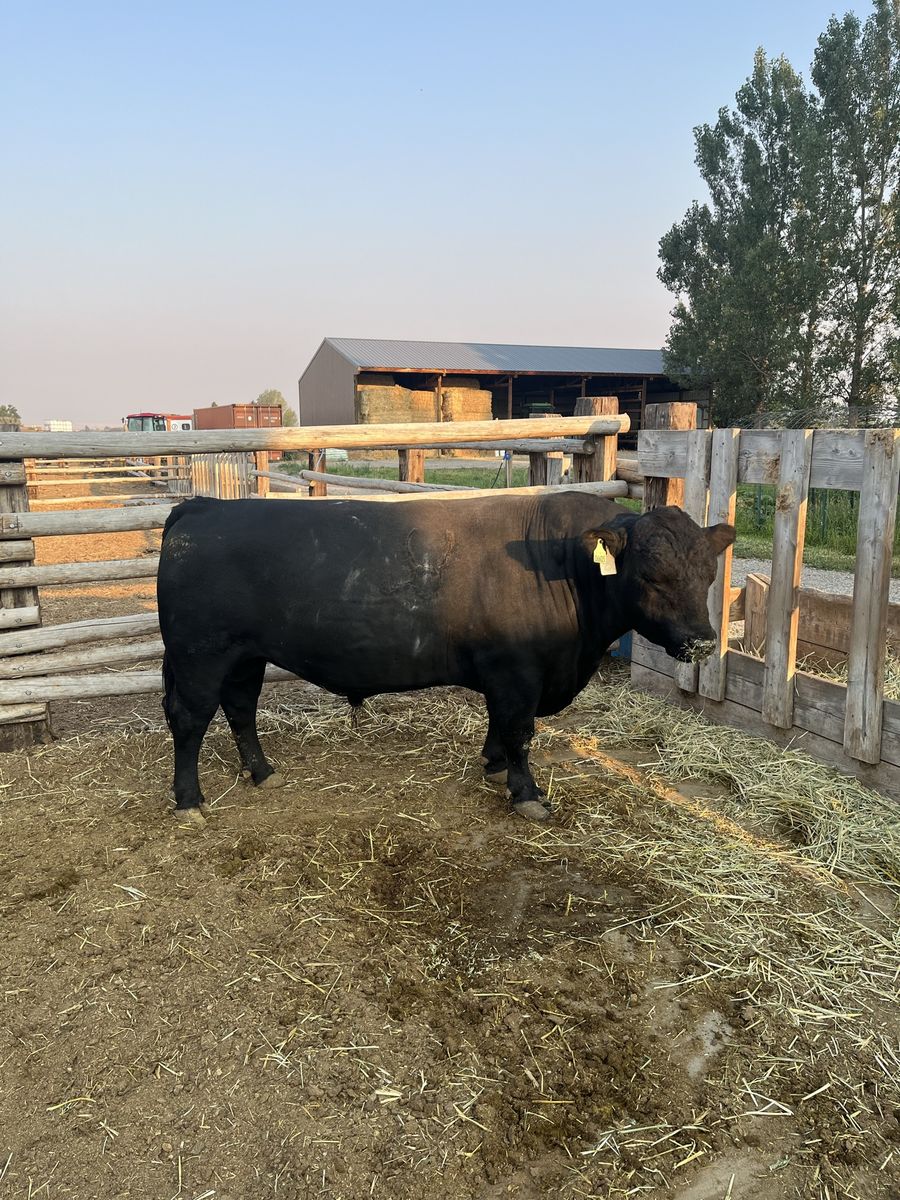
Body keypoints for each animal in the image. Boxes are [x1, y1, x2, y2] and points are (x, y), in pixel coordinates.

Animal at [156, 493, 734, 824]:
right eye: (650, 574)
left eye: (709, 571)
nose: (703, 642)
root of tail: (204, 505)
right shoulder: (518, 671)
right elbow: (521, 731)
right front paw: (527, 794)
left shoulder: (508, 675)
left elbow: (499, 725)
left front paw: (494, 766)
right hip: (199, 655)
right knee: (189, 719)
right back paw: (189, 801)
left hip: (244, 656)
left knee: (240, 710)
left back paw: (262, 772)